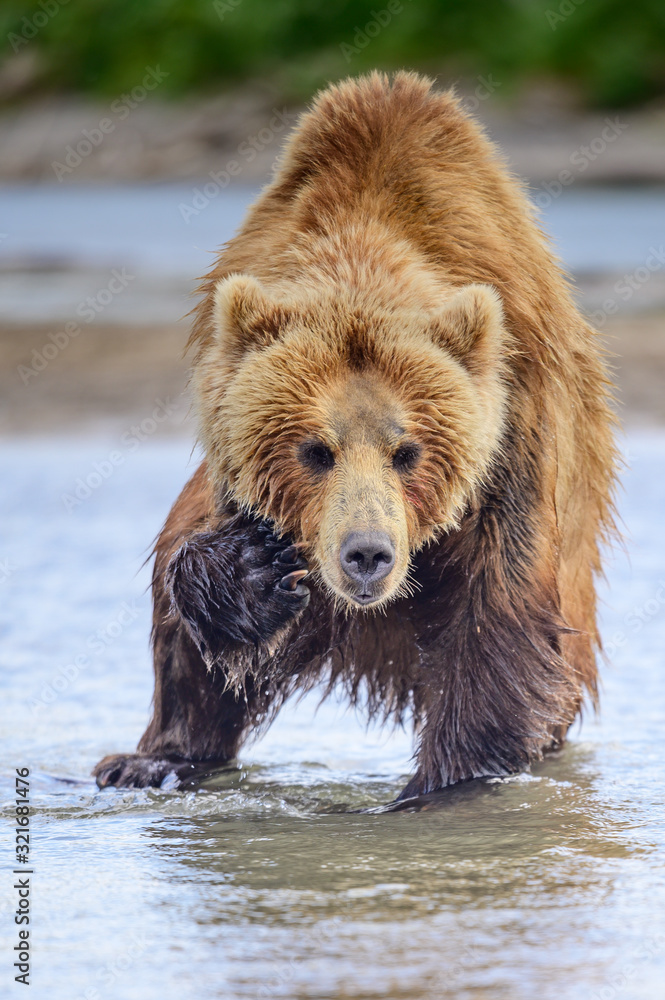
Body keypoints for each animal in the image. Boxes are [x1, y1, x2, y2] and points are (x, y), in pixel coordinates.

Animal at [93, 71, 617, 799]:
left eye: (409, 452)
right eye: (314, 450)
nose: (366, 554)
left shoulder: (516, 438)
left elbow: (500, 623)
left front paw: (444, 785)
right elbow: (214, 594)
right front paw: (248, 570)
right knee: (180, 622)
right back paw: (154, 759)